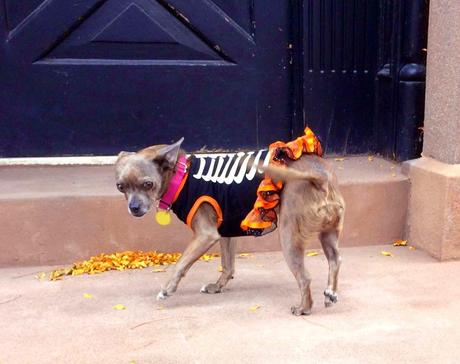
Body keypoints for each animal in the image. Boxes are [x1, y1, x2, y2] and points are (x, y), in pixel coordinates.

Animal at [115, 138, 344, 314]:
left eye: (148, 184)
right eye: (120, 187)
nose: (134, 207)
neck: (181, 176)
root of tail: (320, 177)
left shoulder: (206, 235)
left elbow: (181, 263)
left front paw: (167, 289)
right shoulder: (225, 232)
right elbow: (227, 265)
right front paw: (217, 287)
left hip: (288, 235)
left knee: (305, 277)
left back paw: (304, 308)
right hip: (329, 233)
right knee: (335, 259)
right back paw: (330, 293)